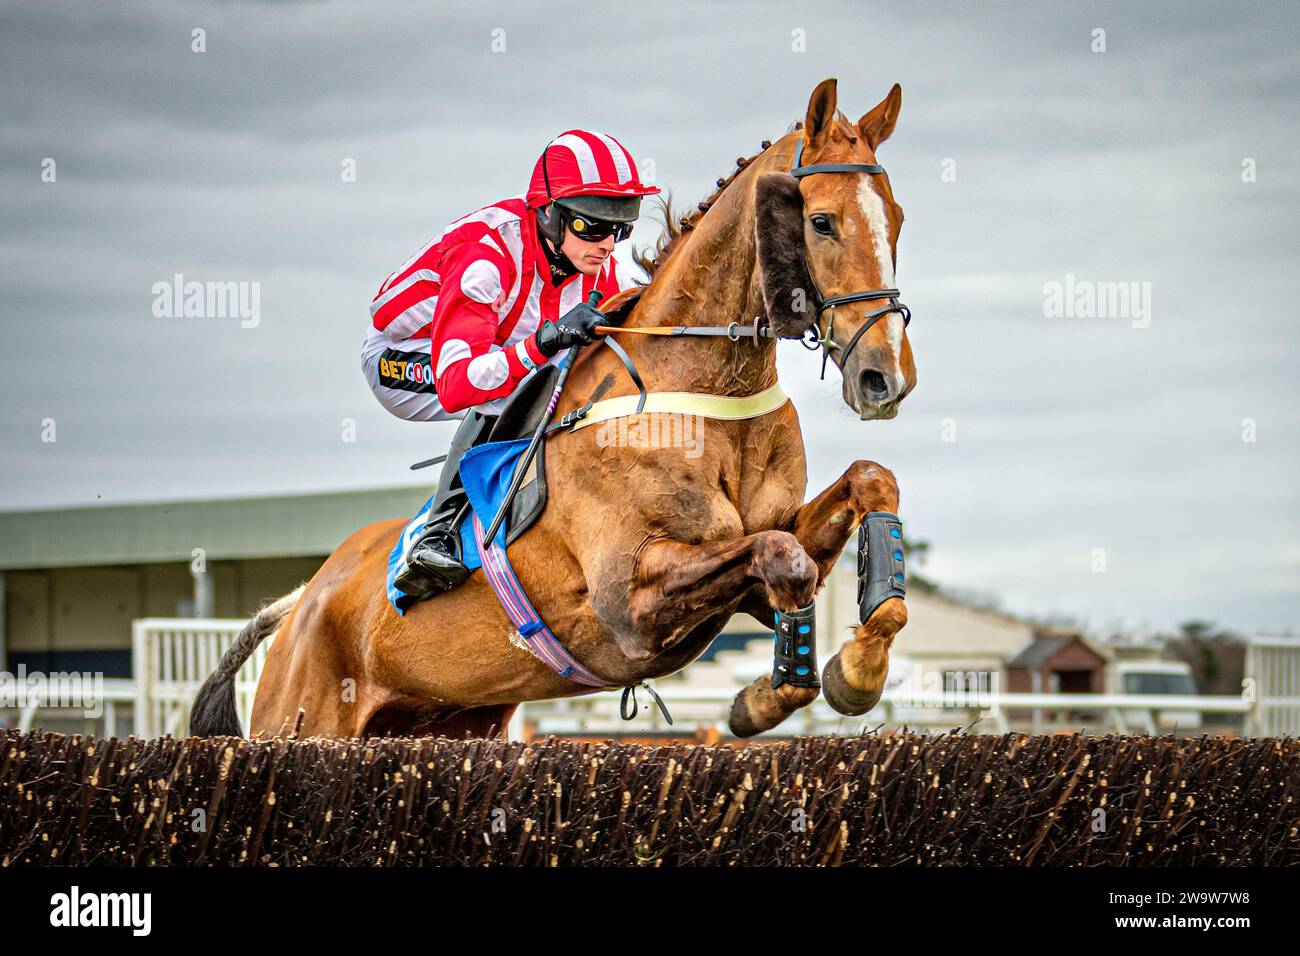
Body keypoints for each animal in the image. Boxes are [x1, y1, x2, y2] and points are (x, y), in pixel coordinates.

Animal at [192, 78, 915, 743]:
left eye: (898, 219)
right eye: (821, 221)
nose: (886, 377)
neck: (706, 389)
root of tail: (302, 601)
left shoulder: (759, 574)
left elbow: (862, 491)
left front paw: (849, 671)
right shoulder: (629, 602)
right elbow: (781, 554)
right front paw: (782, 693)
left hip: (452, 724)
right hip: (301, 721)